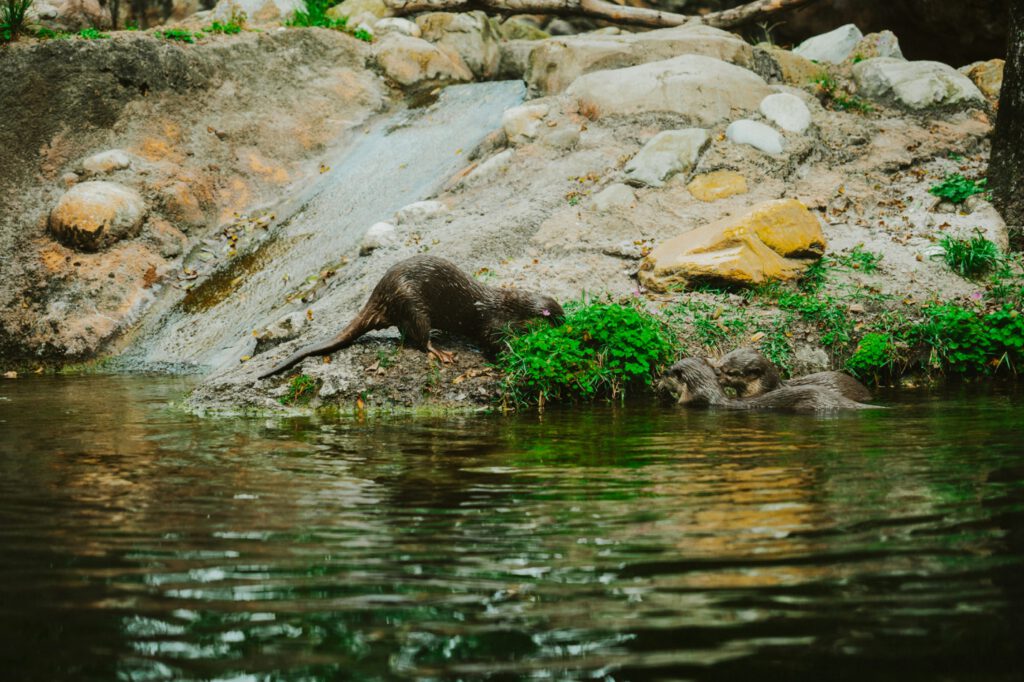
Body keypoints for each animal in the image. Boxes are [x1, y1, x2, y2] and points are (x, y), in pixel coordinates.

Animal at [257, 255, 564, 379]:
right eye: (555, 319)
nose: (566, 325)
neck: (506, 306)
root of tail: (380, 294)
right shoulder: (492, 322)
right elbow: (494, 342)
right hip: (412, 303)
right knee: (418, 338)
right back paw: (441, 351)